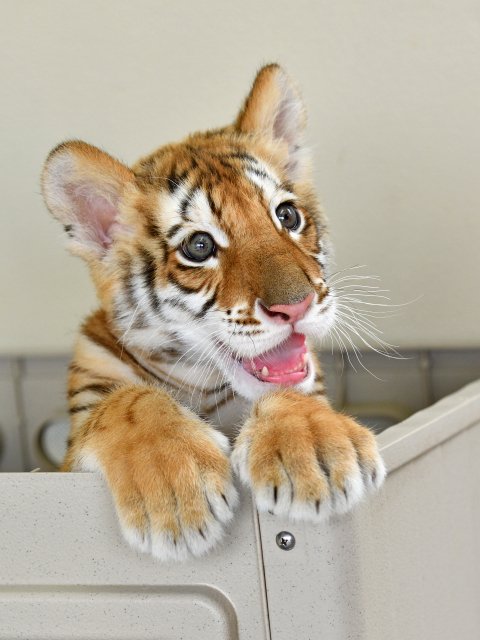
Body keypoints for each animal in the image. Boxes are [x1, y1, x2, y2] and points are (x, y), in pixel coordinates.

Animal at [41, 64, 386, 561]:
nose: (296, 304)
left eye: (287, 216)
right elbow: (128, 401)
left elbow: (287, 389)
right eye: (199, 246)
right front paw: (176, 494)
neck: (199, 384)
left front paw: (317, 454)